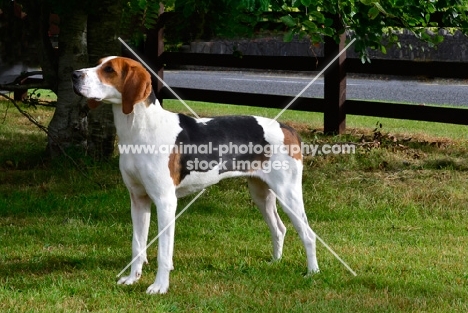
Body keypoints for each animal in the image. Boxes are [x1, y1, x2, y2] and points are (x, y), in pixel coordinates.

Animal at [71, 55, 320, 292]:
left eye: (109, 70)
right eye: (98, 64)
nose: (74, 74)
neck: (139, 129)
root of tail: (288, 128)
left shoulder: (165, 202)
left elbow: (163, 252)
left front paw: (159, 287)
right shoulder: (138, 200)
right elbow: (137, 245)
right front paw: (133, 279)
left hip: (288, 194)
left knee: (308, 235)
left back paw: (312, 273)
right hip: (261, 194)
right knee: (279, 229)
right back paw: (275, 262)